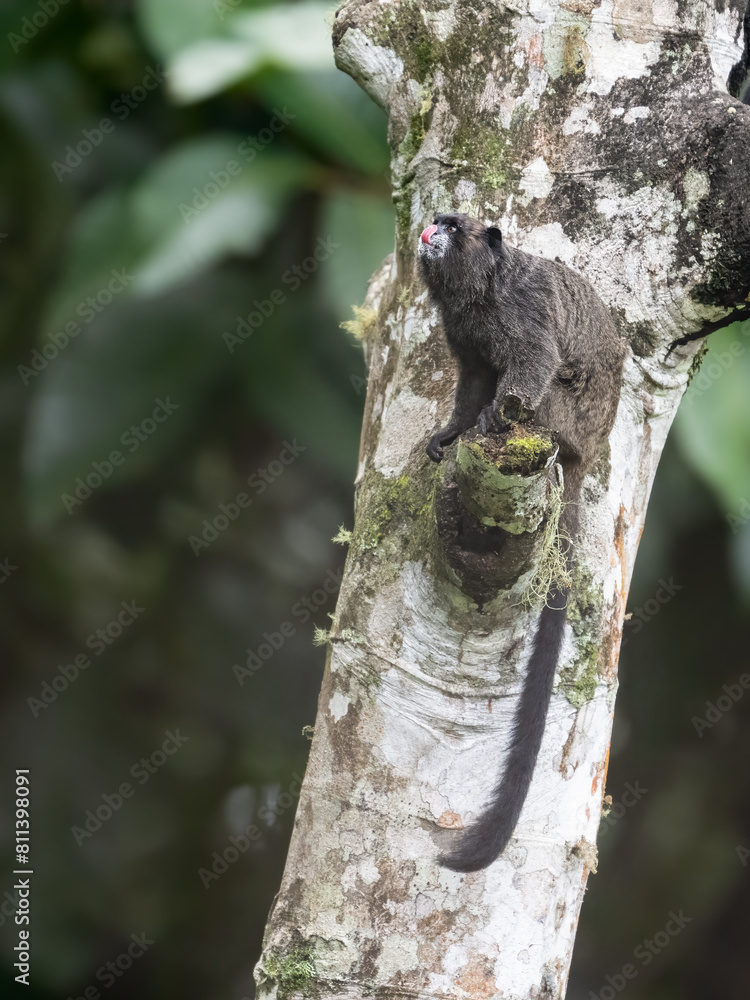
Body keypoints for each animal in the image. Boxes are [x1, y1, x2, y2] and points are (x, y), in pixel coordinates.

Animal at [418, 213, 626, 872]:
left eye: (452, 229)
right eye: (436, 222)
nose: (429, 231)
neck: (479, 297)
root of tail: (589, 450)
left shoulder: (523, 311)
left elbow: (533, 363)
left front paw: (492, 420)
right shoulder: (462, 334)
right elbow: (474, 381)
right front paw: (454, 432)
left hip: (566, 416)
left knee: (552, 385)